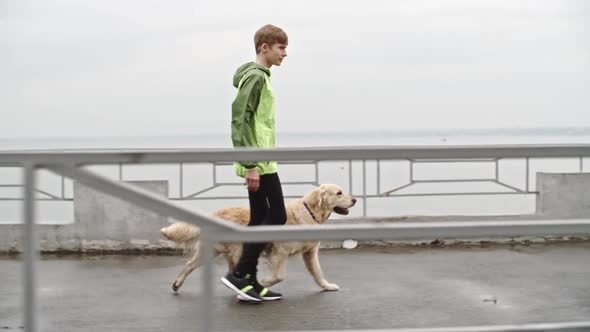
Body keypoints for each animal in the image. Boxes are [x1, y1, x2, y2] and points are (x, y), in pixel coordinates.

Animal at [160, 184, 358, 294]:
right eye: (339, 193)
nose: (355, 199)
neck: (310, 212)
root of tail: (215, 214)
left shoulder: (310, 253)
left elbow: (318, 273)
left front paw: (327, 286)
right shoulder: (279, 252)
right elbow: (279, 276)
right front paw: (263, 283)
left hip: (211, 251)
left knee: (189, 265)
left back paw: (177, 284)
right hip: (238, 249)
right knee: (233, 271)